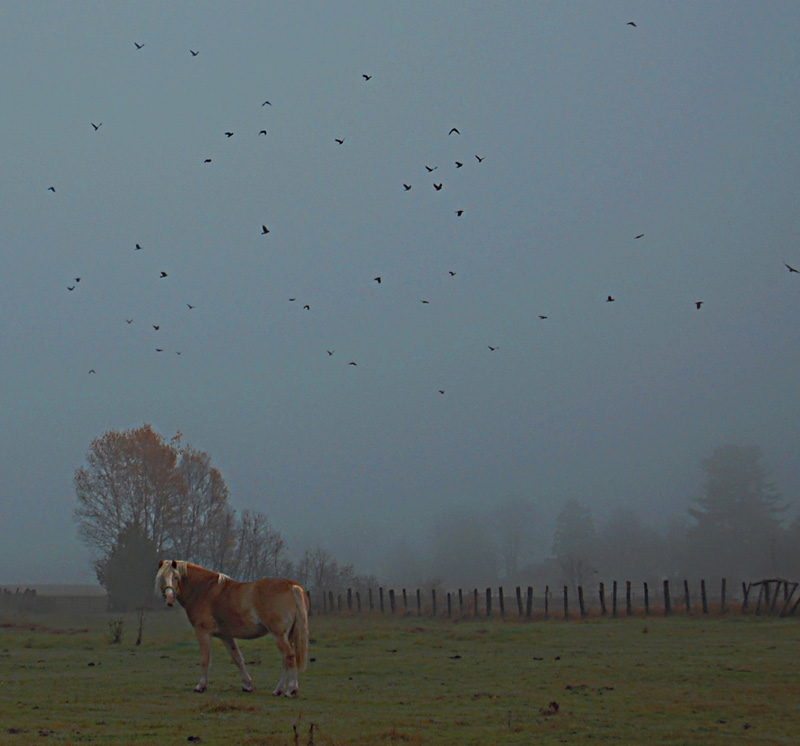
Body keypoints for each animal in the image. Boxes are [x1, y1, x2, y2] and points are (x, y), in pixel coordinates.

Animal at [155, 560, 310, 696]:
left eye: (176, 577)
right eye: (161, 578)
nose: (169, 598)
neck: (204, 590)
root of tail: (290, 586)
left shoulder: (203, 632)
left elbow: (205, 659)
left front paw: (201, 686)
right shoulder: (226, 636)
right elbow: (237, 658)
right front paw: (247, 685)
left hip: (279, 635)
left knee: (289, 657)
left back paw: (291, 690)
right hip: (288, 636)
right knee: (285, 661)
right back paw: (278, 690)